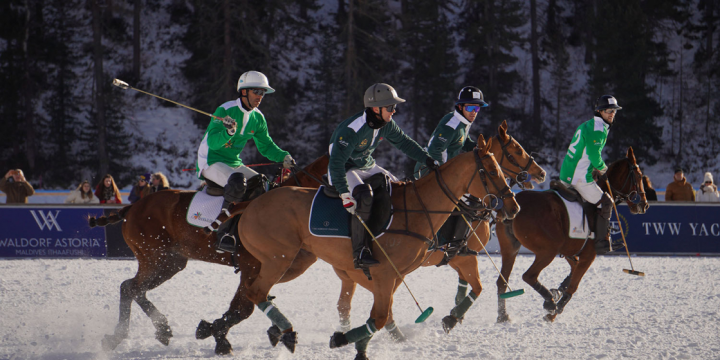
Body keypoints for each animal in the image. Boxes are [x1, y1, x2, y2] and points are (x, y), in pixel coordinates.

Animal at [90, 154, 330, 352]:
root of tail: (133, 207)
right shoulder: (251, 268)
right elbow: (243, 308)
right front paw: (217, 336)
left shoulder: (271, 271)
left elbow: (247, 304)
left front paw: (218, 332)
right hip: (155, 257)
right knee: (131, 288)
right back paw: (131, 334)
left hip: (171, 263)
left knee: (133, 288)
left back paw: (153, 330)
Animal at [233, 135, 520, 360]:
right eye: (492, 171)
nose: (513, 207)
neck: (421, 207)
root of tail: (250, 206)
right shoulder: (391, 272)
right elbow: (380, 316)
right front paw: (344, 340)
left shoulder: (395, 274)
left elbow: (381, 314)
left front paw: (357, 344)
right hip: (279, 259)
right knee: (255, 292)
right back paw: (283, 331)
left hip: (294, 261)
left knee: (256, 292)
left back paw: (273, 331)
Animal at [334, 121, 548, 338]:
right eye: (517, 150)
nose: (542, 173)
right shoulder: (462, 256)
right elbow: (475, 288)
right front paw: (452, 319)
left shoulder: (458, 257)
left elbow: (465, 288)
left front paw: (456, 316)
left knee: (348, 301)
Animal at [496, 146, 648, 324]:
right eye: (639, 176)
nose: (644, 205)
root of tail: (515, 206)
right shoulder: (588, 255)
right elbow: (574, 285)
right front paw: (554, 312)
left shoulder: (569, 250)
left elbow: (572, 271)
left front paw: (558, 291)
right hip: (548, 250)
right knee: (529, 276)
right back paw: (550, 303)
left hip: (510, 248)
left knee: (502, 282)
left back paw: (503, 316)